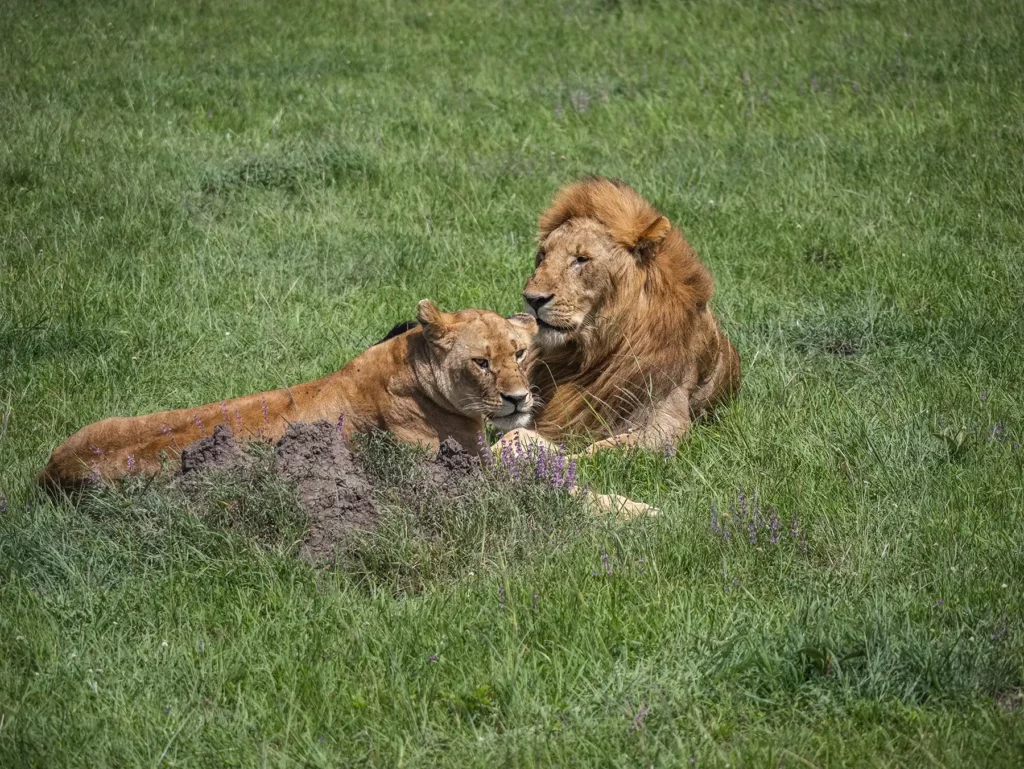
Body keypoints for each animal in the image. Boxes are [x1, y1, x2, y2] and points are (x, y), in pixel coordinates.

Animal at [509, 176, 741, 453]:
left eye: (581, 259)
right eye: (542, 256)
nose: (532, 299)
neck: (588, 352)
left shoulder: (667, 424)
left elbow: (595, 450)